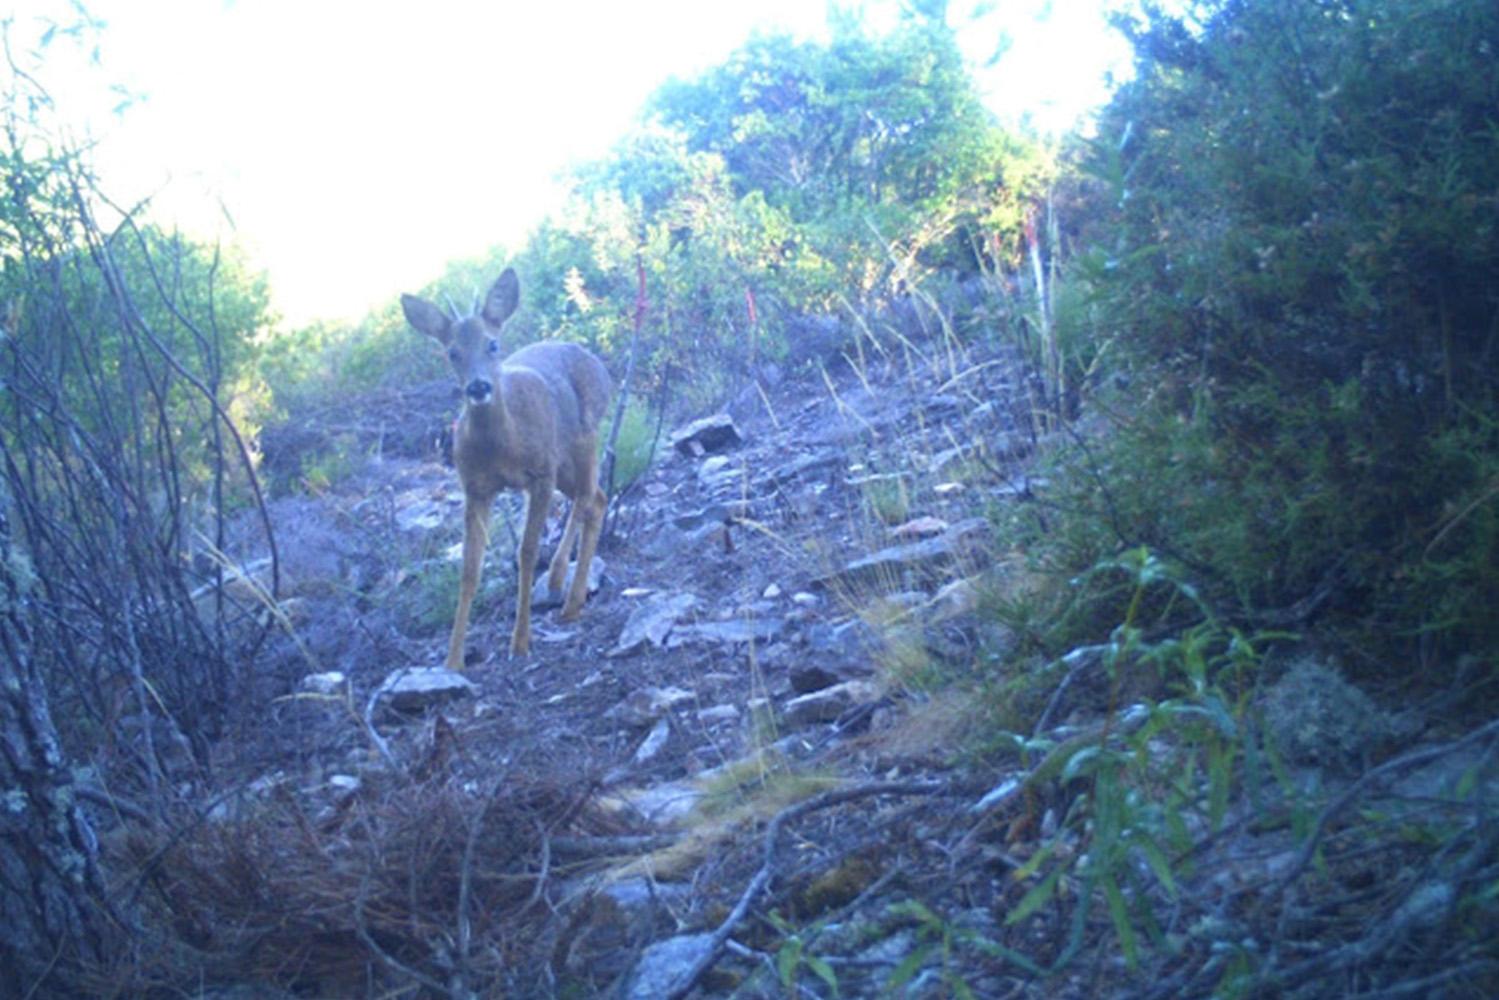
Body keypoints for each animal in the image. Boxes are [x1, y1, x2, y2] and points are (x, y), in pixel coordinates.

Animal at [401, 269, 611, 668]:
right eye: (452, 352)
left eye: (493, 344)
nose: (478, 386)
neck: (502, 446)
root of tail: (593, 358)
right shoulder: (475, 489)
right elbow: (470, 569)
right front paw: (453, 660)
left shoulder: (539, 475)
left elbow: (526, 553)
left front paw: (520, 642)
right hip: (564, 465)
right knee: (598, 498)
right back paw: (569, 595)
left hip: (583, 439)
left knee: (589, 499)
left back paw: (563, 586)